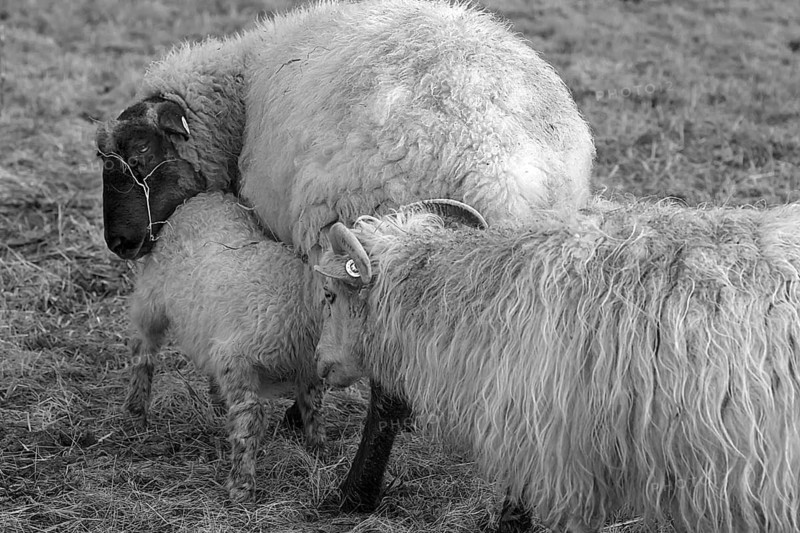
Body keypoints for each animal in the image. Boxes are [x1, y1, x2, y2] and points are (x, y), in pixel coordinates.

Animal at [124, 191, 325, 502]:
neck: (299, 293)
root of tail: (205, 196)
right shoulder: (236, 358)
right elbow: (250, 416)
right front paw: (242, 483)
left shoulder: (308, 366)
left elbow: (312, 404)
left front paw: (319, 448)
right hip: (152, 298)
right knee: (142, 348)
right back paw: (136, 411)